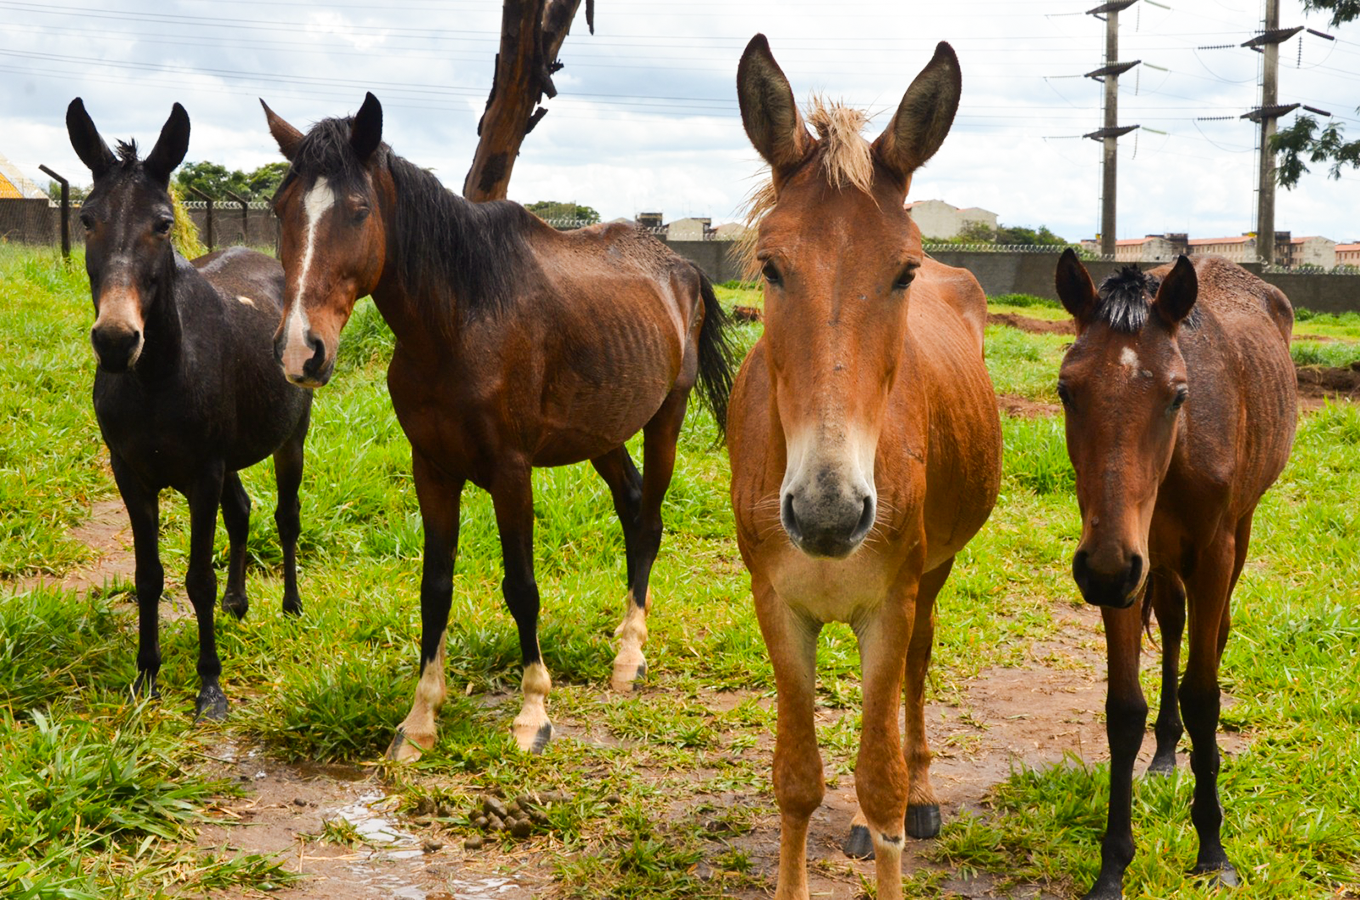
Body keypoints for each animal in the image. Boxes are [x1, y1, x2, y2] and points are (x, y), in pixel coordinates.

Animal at [69, 100, 315, 717]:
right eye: (86, 219)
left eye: (163, 223)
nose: (115, 341)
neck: (157, 379)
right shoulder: (132, 473)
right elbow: (148, 576)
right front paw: (146, 677)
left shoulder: (203, 472)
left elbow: (196, 577)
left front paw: (210, 687)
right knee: (243, 509)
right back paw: (237, 602)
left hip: (290, 439)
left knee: (286, 517)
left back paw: (291, 606)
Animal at [261, 93, 739, 761]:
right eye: (281, 209)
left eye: (358, 210)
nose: (300, 351)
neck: (461, 320)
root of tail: (684, 270)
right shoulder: (432, 469)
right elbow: (435, 588)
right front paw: (419, 720)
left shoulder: (512, 473)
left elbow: (522, 586)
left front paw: (533, 712)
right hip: (604, 434)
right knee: (632, 507)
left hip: (665, 417)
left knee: (648, 521)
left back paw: (629, 657)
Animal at [728, 35, 1006, 900]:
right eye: (771, 265)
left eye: (904, 271)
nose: (828, 513)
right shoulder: (778, 605)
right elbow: (796, 780)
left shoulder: (893, 600)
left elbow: (880, 782)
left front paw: (898, 806)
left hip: (933, 576)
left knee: (913, 678)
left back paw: (921, 795)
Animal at [1049, 250, 1294, 900]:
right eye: (1065, 389)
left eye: (1178, 395)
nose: (1107, 569)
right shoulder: (1118, 563)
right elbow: (1123, 710)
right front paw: (1113, 865)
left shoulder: (1206, 554)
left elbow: (1205, 695)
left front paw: (1212, 849)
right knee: (1175, 623)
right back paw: (1164, 751)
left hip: (1235, 533)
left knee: (1216, 630)